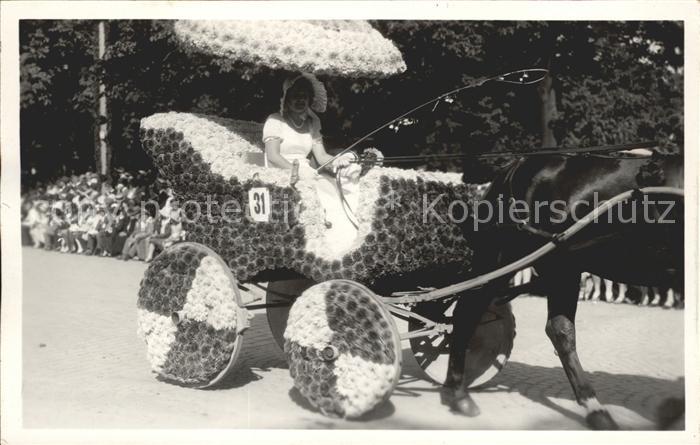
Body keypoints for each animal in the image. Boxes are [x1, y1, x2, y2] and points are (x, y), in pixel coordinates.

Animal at [446, 151, 680, 428]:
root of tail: (515, 165)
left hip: (561, 266)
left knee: (560, 329)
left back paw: (595, 409)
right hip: (502, 259)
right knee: (467, 311)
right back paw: (458, 392)